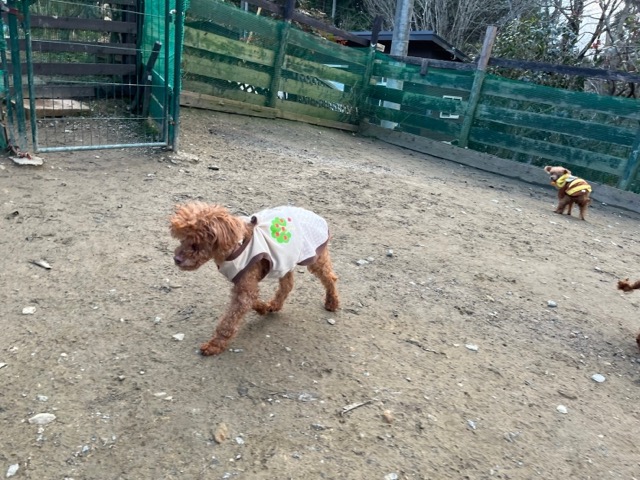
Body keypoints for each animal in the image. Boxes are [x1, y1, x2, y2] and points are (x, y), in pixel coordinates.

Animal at [170, 202, 340, 356]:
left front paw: (214, 345)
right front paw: (263, 308)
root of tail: (316, 216)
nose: (176, 259)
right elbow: (253, 300)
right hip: (286, 259)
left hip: (315, 257)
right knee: (287, 284)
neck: (235, 246)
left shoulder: (245, 286)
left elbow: (228, 321)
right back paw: (274, 305)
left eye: (196, 244)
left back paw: (332, 302)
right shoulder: (244, 286)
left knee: (330, 277)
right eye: (182, 240)